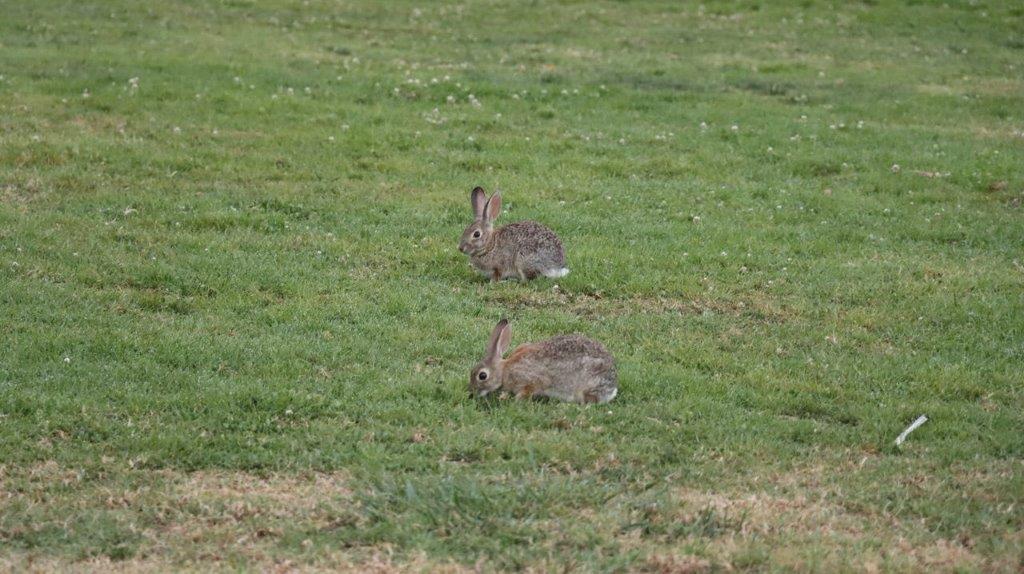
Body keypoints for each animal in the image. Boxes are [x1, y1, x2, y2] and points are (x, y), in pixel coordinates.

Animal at [468, 317, 618, 403]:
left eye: (482, 376)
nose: (472, 392)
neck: (504, 370)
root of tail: (612, 386)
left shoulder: (532, 380)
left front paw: (516, 399)